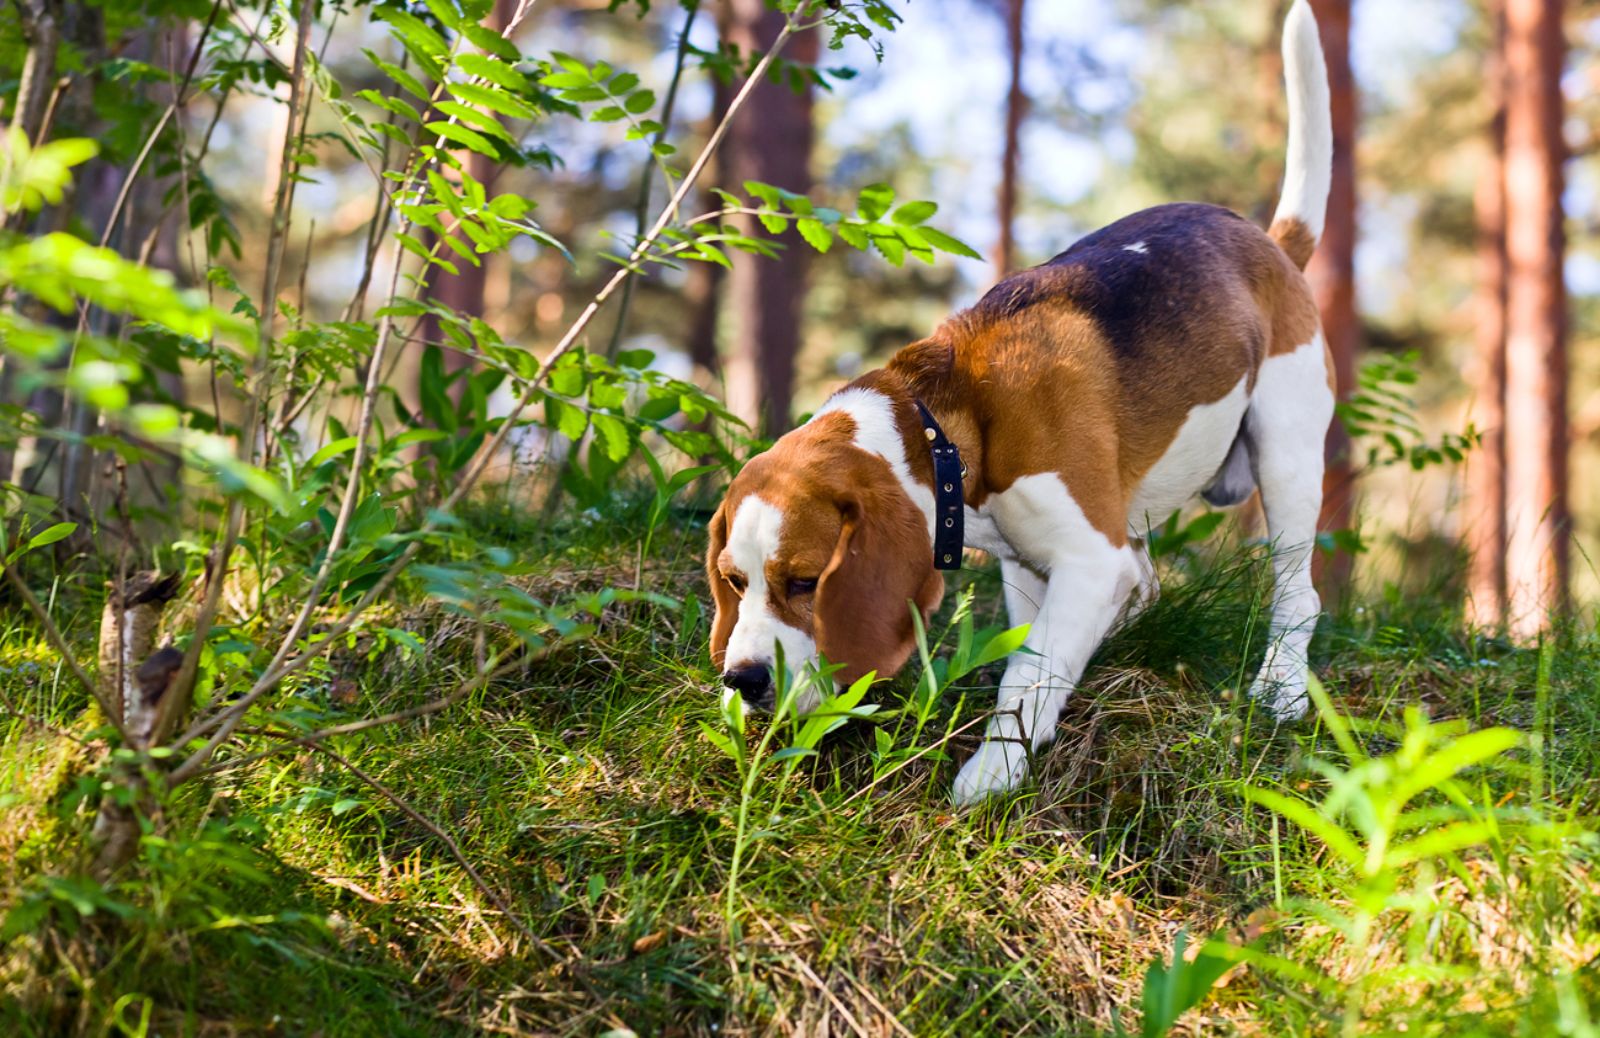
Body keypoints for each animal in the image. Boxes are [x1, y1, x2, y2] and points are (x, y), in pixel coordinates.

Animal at [710, 0, 1337, 802]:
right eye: (734, 581)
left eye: (804, 581)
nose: (743, 679)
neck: (948, 428)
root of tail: (1272, 244)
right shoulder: (1029, 566)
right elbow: (1034, 653)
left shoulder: (1089, 559)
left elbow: (1029, 676)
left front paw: (993, 770)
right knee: (1149, 585)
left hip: (1286, 455)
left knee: (1297, 591)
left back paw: (1282, 687)